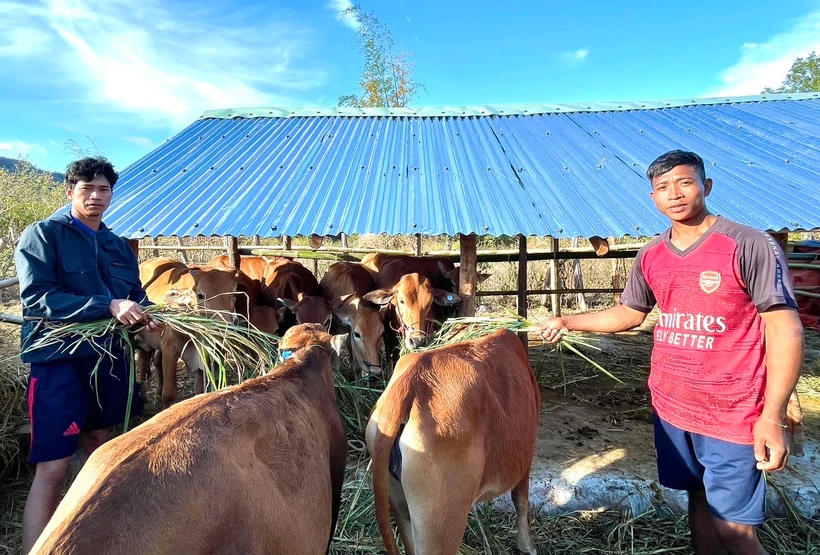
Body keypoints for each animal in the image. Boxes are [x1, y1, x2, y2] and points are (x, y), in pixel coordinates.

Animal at [368, 330, 540, 555]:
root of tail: (410, 382)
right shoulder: (525, 461)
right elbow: (521, 500)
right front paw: (527, 546)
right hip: (442, 523)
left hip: (400, 504)